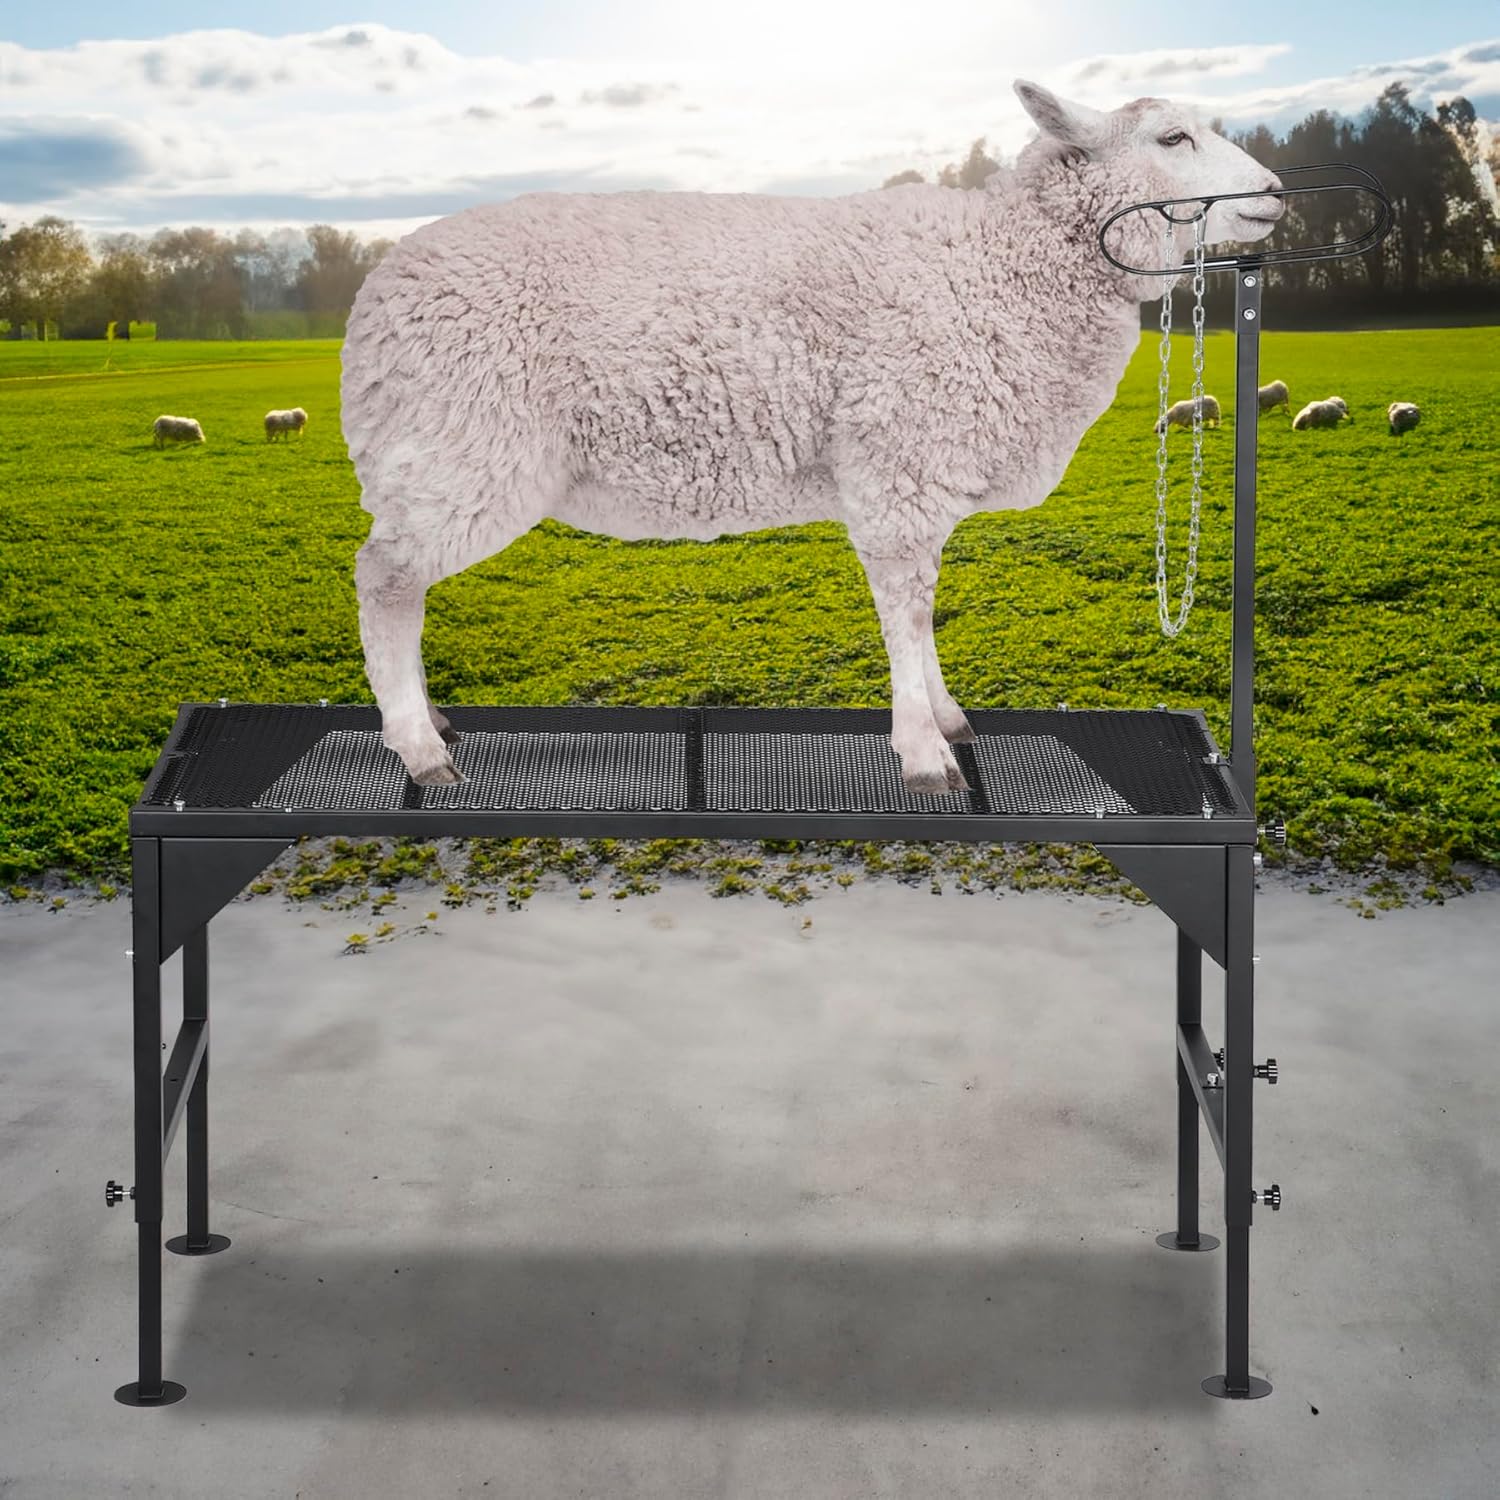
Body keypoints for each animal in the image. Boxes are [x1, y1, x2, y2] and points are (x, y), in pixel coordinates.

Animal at [341, 78, 1284, 792]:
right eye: (1172, 137)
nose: (1275, 194)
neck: (1003, 264)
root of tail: (378, 297)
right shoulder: (900, 462)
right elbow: (906, 611)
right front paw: (924, 752)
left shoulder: (915, 476)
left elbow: (924, 611)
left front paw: (945, 716)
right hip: (464, 445)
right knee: (385, 581)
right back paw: (418, 749)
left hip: (438, 457)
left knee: (400, 583)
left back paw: (429, 723)